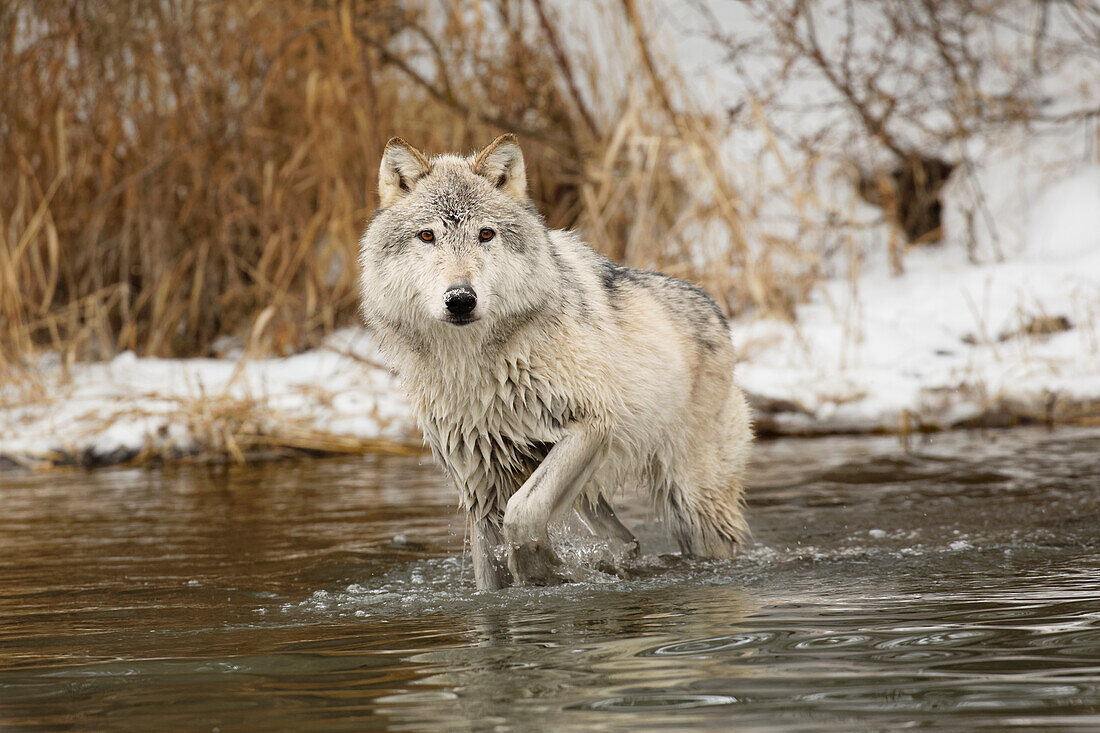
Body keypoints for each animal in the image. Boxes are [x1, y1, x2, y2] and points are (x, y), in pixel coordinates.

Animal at [356, 132, 752, 589]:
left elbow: (523, 513)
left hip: (691, 500)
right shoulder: (478, 481)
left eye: (485, 234)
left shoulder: (591, 424)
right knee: (629, 540)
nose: (460, 299)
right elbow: (492, 565)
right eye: (426, 236)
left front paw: (541, 569)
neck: (475, 368)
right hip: (593, 498)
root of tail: (716, 310)